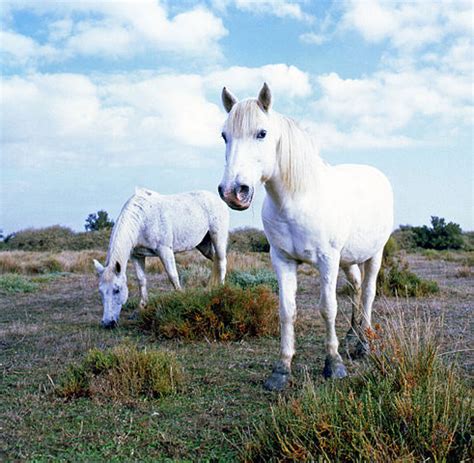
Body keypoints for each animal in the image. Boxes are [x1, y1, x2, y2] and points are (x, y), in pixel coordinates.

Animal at [93, 188, 230, 330]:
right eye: (100, 291)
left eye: (117, 290)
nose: (107, 323)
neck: (142, 219)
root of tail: (218, 200)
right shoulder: (137, 256)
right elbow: (141, 280)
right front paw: (142, 307)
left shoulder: (164, 251)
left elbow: (173, 276)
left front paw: (181, 300)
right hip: (204, 245)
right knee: (216, 262)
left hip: (218, 238)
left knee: (221, 262)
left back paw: (220, 291)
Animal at [218, 84, 392, 392]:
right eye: (224, 135)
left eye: (262, 133)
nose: (233, 192)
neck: (297, 200)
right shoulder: (282, 260)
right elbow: (287, 311)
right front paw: (281, 370)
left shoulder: (327, 260)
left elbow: (327, 308)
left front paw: (334, 364)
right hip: (348, 260)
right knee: (356, 288)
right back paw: (351, 337)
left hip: (375, 254)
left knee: (368, 293)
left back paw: (363, 344)